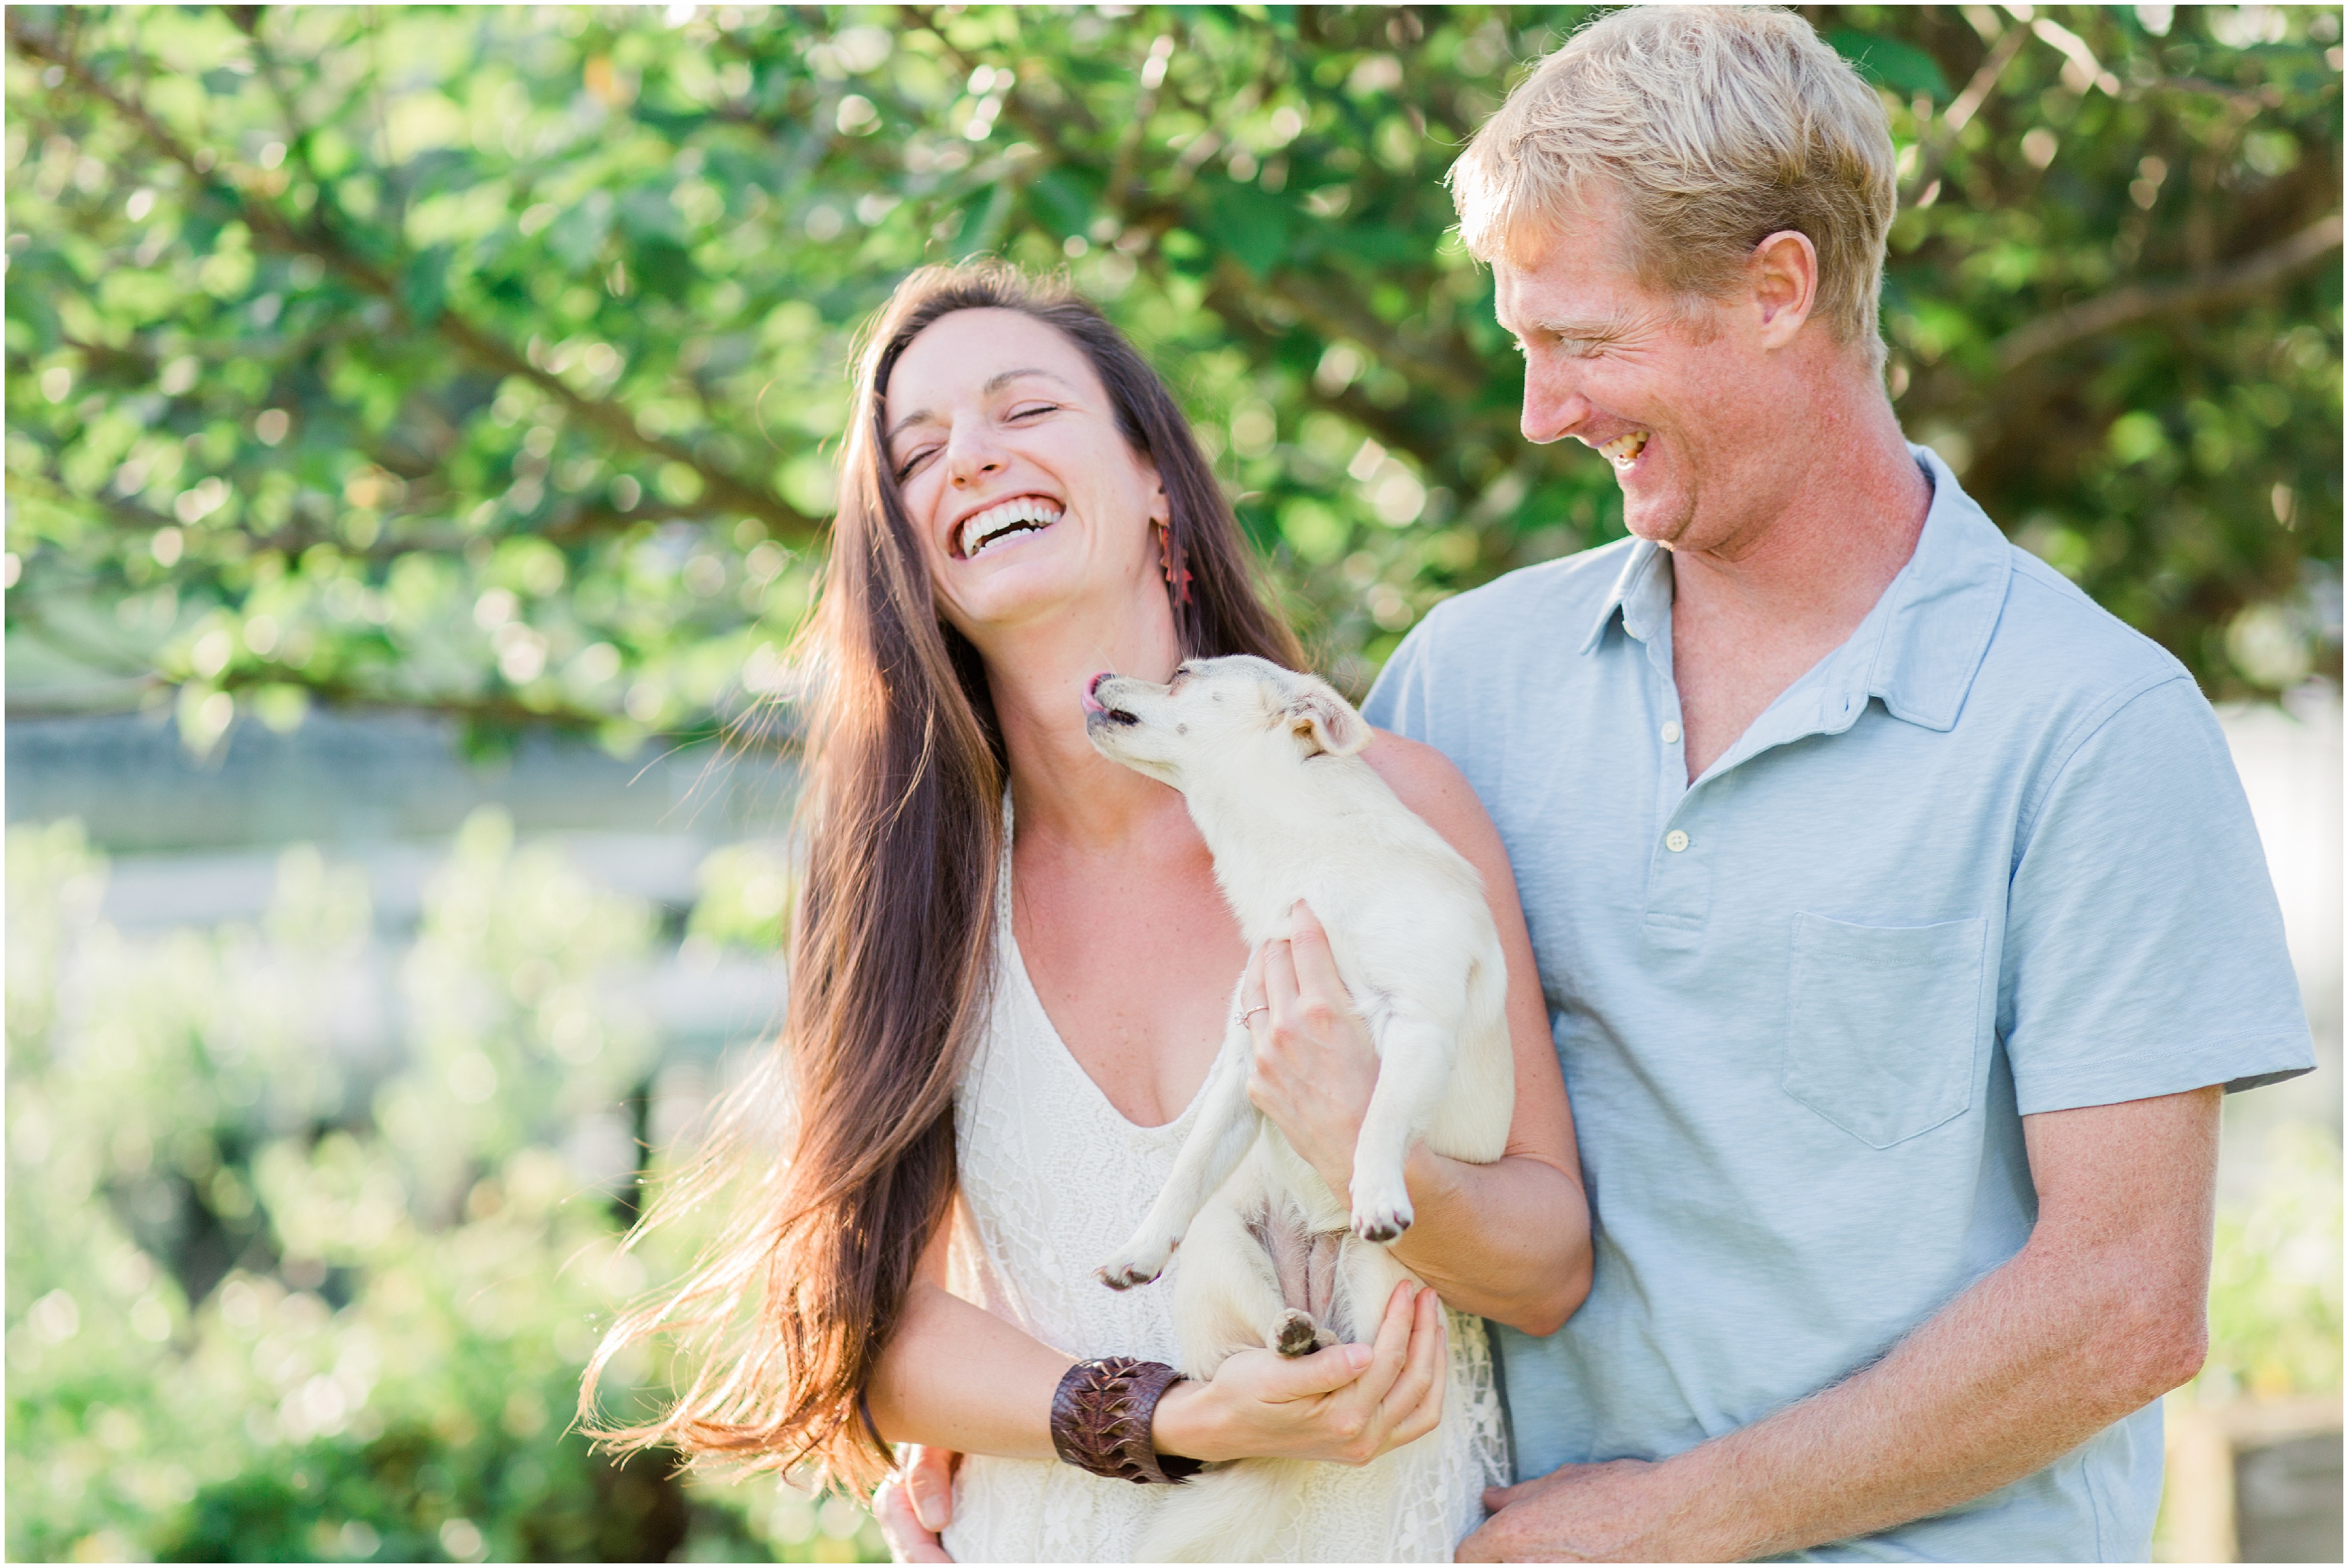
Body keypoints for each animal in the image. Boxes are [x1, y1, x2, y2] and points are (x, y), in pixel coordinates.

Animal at [1085, 653, 1512, 1559]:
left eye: (1180, 672)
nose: (1100, 673)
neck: (1303, 863)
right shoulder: (1248, 1062)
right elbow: (1189, 1165)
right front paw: (1140, 1245)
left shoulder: (1416, 1028)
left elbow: (1376, 1115)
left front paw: (1378, 1185)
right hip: (1227, 1248)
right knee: (1265, 1331)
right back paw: (1292, 1336)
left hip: (1379, 1280)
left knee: (1359, 1341)